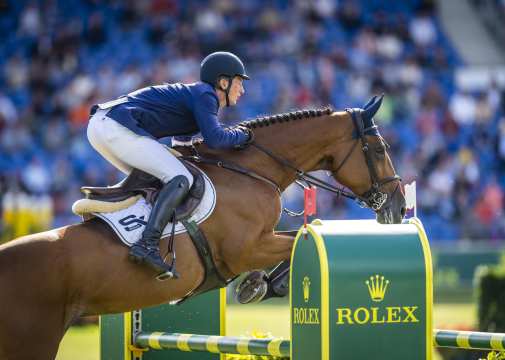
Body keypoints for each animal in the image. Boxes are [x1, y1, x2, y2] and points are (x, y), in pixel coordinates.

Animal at [0, 96, 404, 360]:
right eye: (380, 149)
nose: (398, 207)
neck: (251, 170)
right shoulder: (247, 248)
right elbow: (296, 239)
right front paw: (261, 285)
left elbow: (300, 235)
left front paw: (257, 285)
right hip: (32, 341)